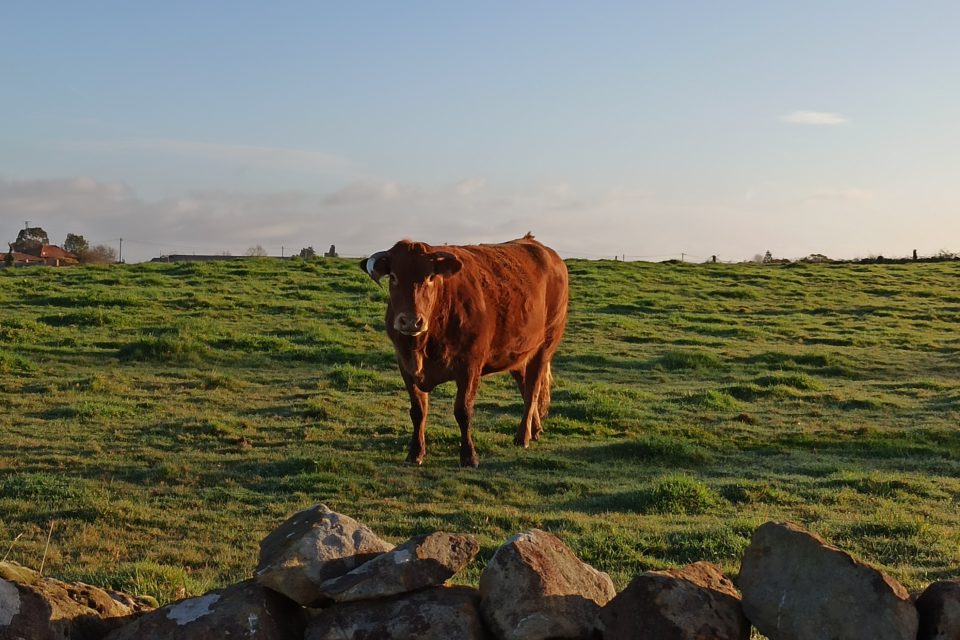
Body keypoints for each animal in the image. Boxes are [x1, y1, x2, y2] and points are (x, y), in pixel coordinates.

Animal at [360, 234, 569, 467]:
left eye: (430, 276)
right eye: (394, 277)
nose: (411, 322)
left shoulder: (470, 366)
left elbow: (463, 410)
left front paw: (469, 456)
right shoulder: (405, 365)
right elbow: (418, 411)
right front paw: (415, 453)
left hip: (545, 346)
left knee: (532, 389)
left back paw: (523, 436)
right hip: (517, 353)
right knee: (525, 387)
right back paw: (535, 429)